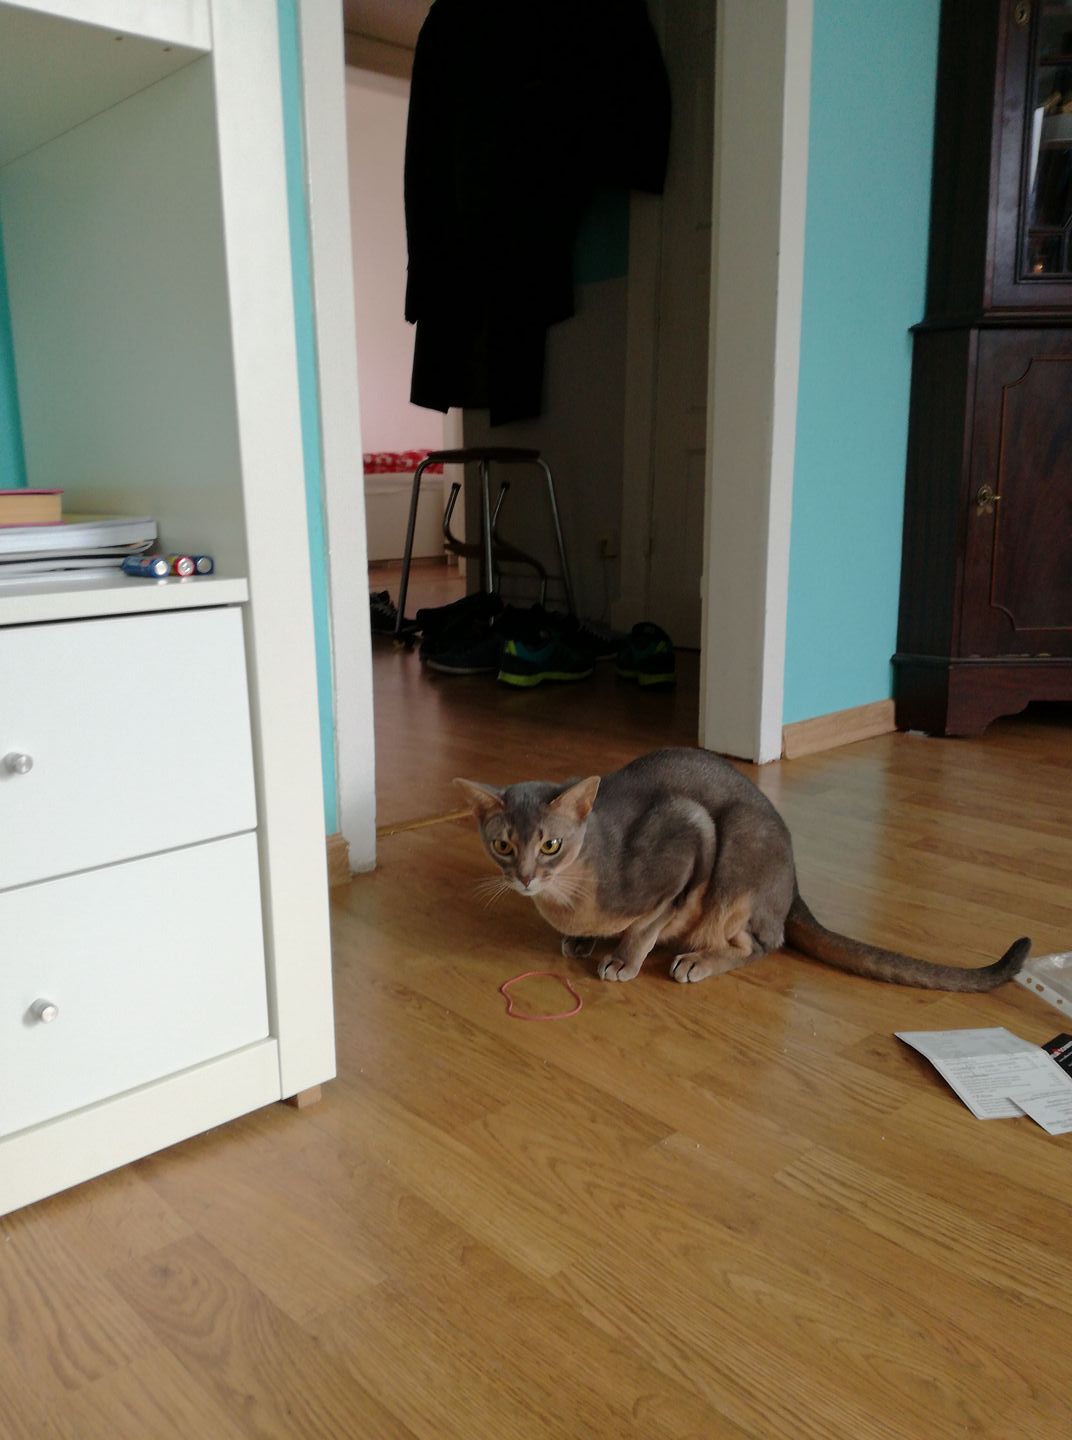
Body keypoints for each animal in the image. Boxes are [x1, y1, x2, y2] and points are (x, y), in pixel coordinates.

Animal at [455, 746, 1031, 989]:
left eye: (551, 845)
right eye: (503, 845)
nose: (525, 877)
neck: (569, 897)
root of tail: (793, 885)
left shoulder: (690, 836)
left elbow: (648, 923)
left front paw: (622, 959)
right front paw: (583, 942)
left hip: (739, 853)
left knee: (762, 943)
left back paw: (697, 961)